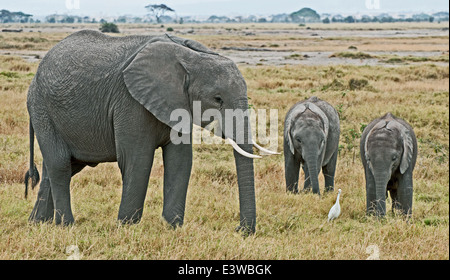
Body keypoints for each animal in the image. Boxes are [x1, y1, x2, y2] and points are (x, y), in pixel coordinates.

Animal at [24, 30, 274, 234]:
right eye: (218, 99)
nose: (240, 230)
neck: (189, 56)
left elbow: (180, 160)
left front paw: (172, 226)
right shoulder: (129, 100)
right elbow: (137, 160)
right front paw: (126, 227)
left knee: (60, 167)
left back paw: (37, 223)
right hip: (42, 109)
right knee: (60, 165)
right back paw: (66, 225)